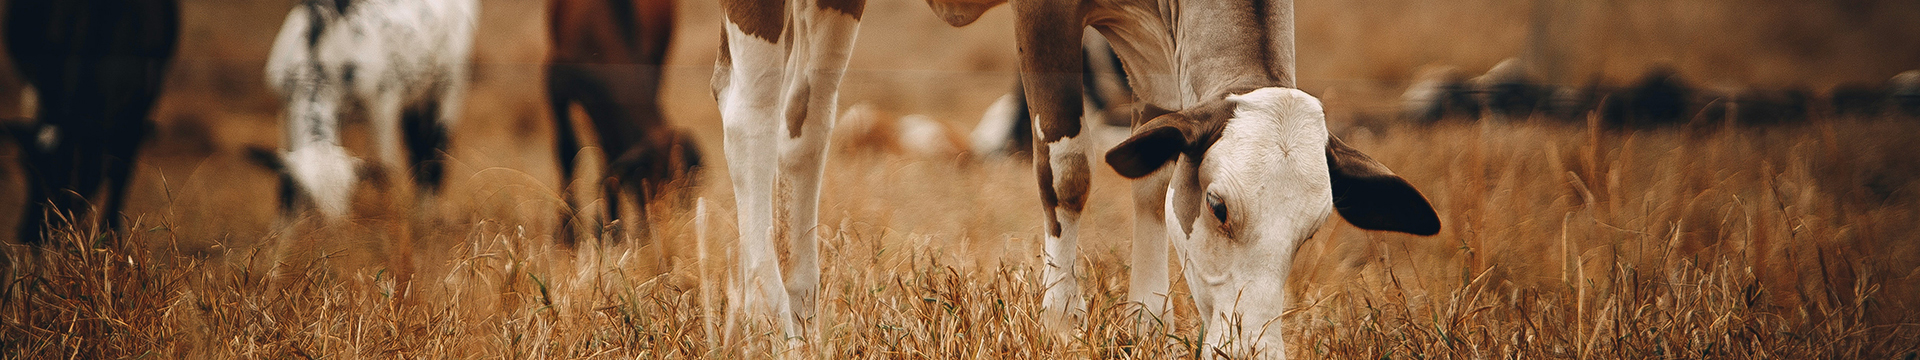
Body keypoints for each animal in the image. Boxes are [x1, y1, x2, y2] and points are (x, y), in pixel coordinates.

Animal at [4, 0, 180, 245]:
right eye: (26, 168)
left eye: (71, 170)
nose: (33, 235)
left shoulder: (140, 106)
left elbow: (120, 171)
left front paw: (112, 234)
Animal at [545, 0, 702, 247]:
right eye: (649, 182)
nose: (658, 231)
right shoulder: (555, 79)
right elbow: (567, 152)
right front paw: (566, 234)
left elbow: (610, 156)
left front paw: (607, 229)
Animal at [929, 0, 1443, 356]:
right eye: (1218, 207)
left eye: (1311, 232)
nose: (1251, 352)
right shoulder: (1044, 15)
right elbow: (1066, 173)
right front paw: (1059, 325)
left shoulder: (1156, 48)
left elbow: (1154, 183)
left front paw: (1148, 323)